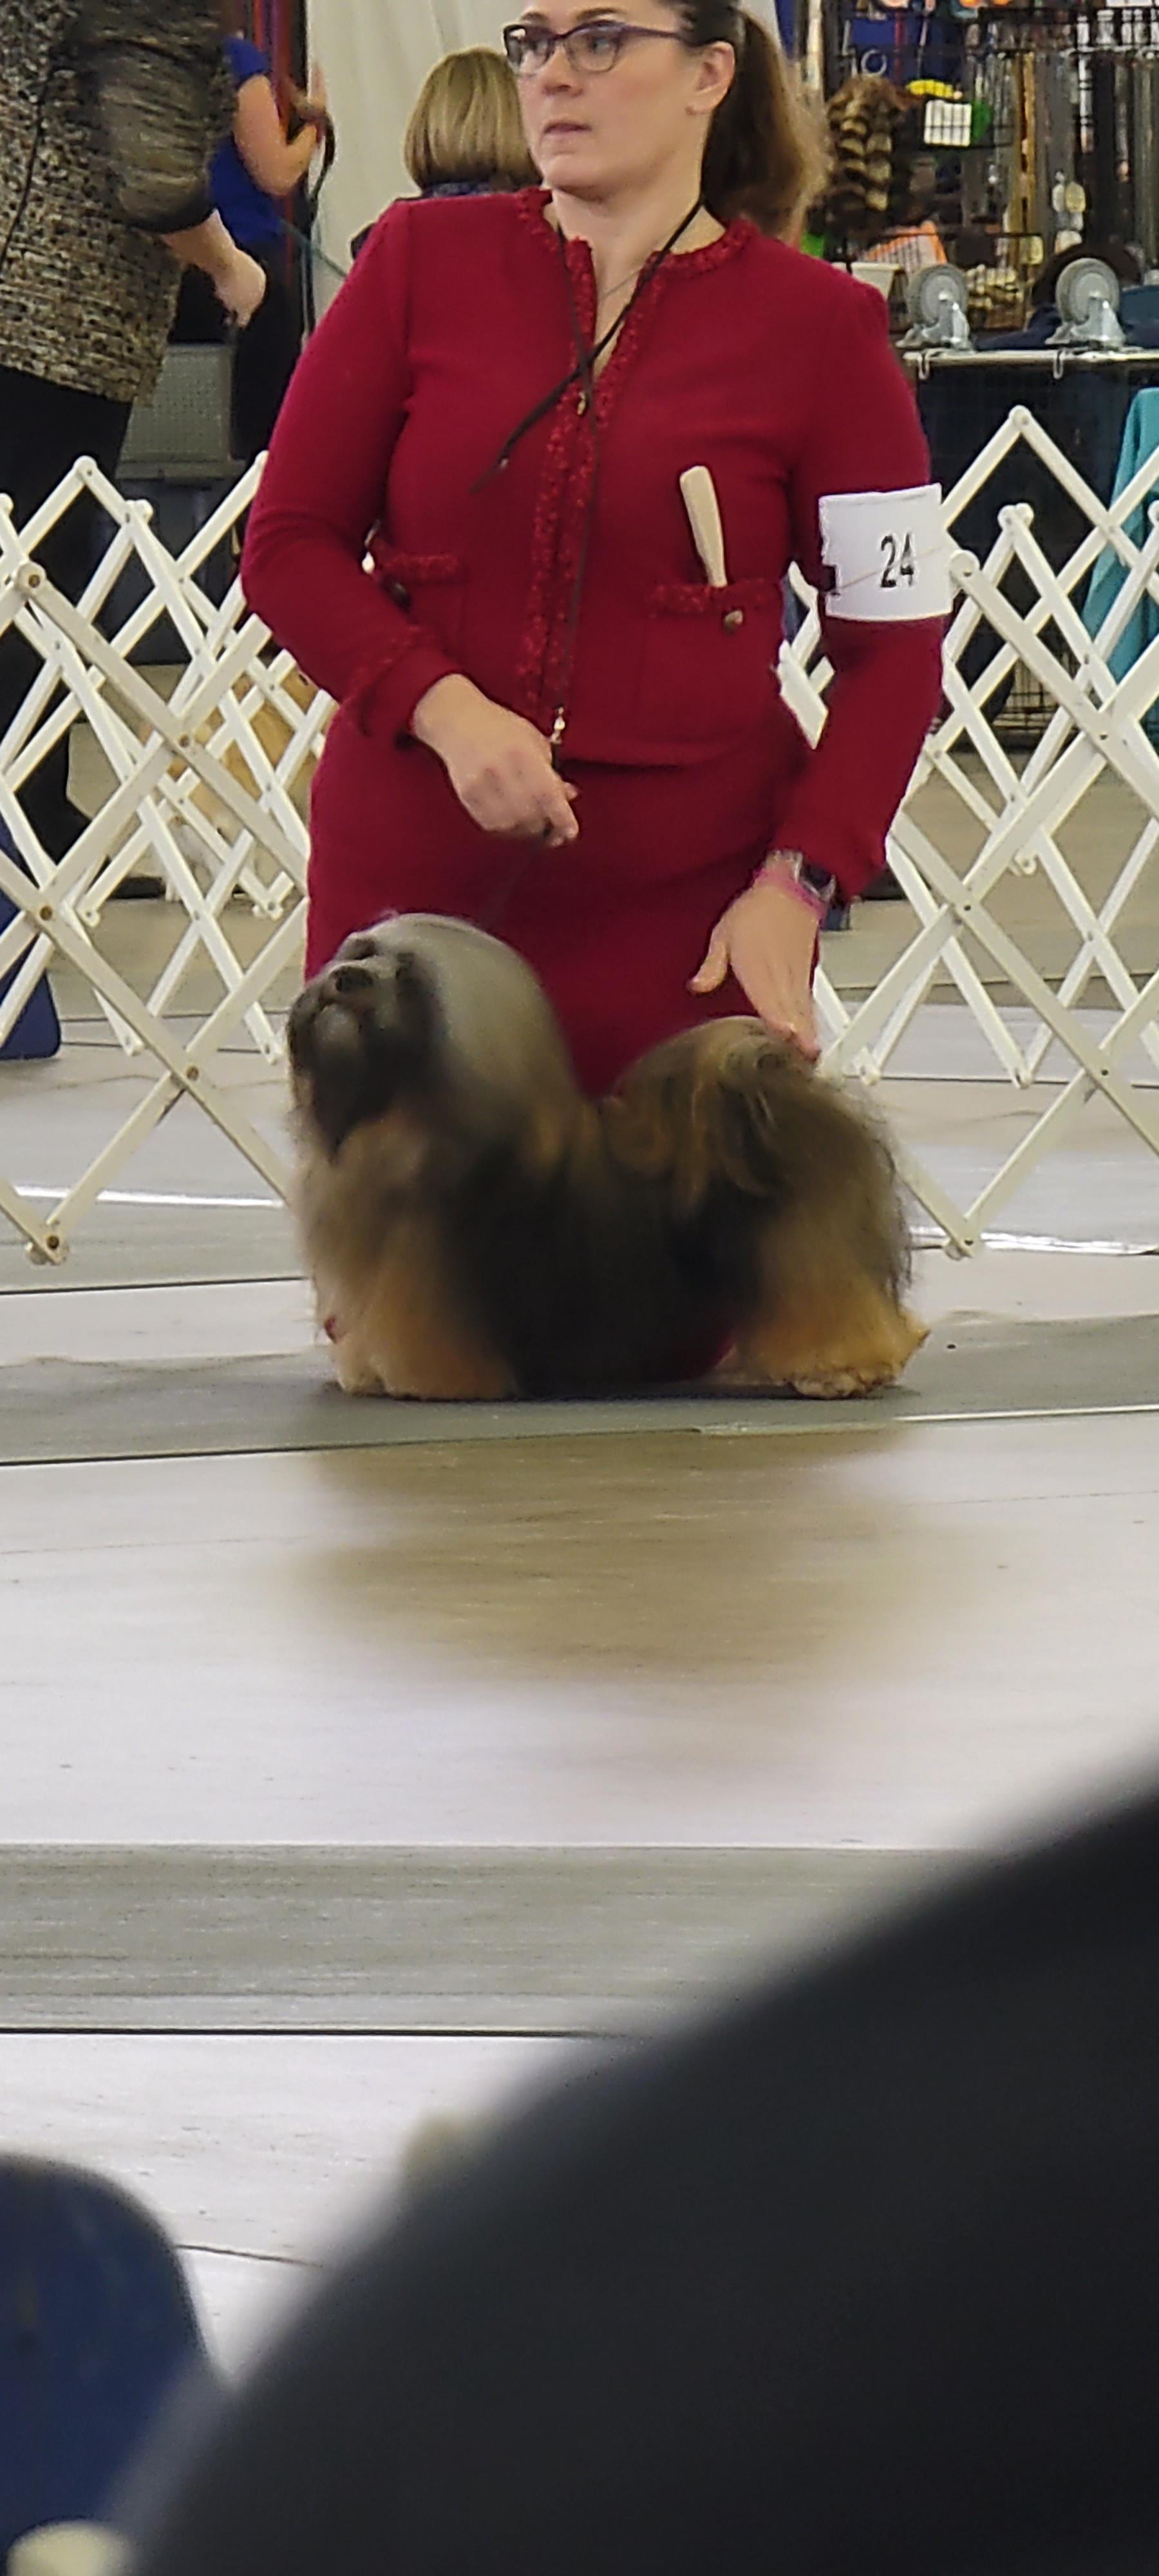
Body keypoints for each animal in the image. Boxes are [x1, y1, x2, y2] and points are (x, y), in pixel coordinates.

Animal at [287, 914, 926, 1401]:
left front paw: (422, 1381)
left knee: (832, 1300)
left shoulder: (430, 1276)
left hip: (801, 1249)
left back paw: (842, 1367)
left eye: (408, 979)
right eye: (362, 953)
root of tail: (773, 1088)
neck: (399, 1114)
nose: (345, 978)